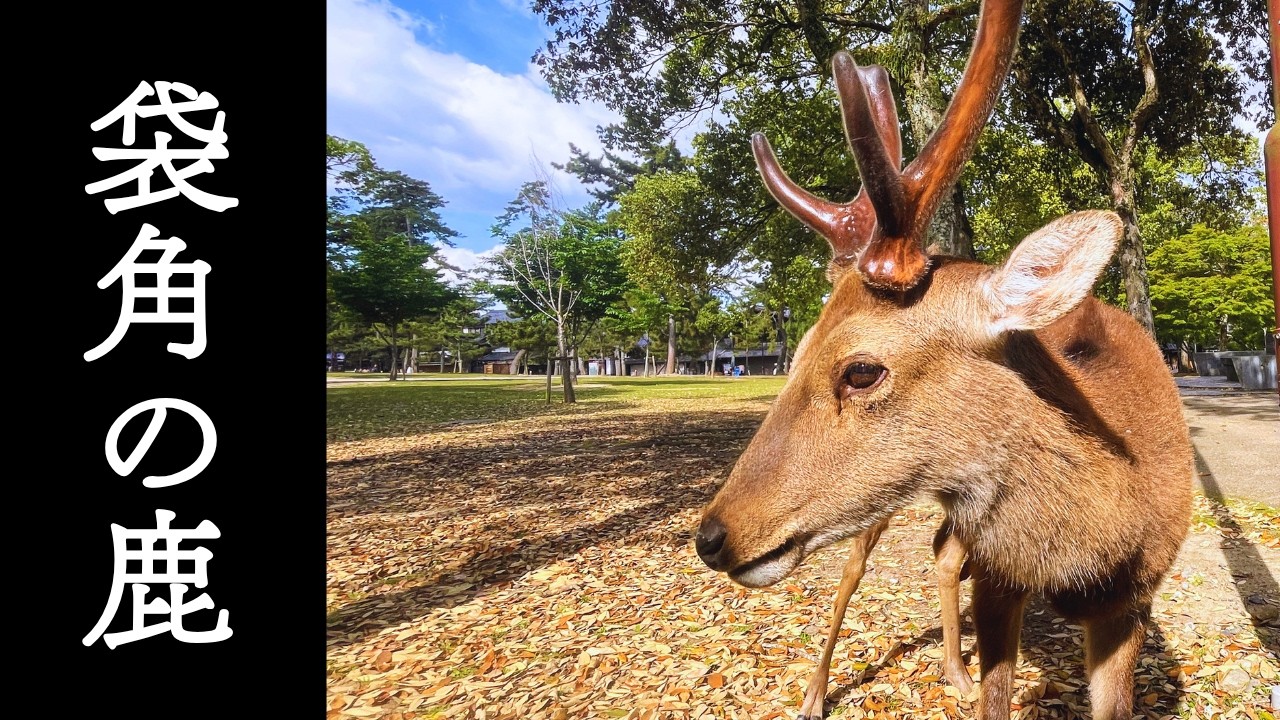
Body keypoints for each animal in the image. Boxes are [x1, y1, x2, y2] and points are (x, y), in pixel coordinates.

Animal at [691, 0, 1195, 717]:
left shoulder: (1135, 598)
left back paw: (951, 670)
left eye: (861, 370)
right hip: (881, 505)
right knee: (857, 569)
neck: (1090, 549)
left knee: (941, 549)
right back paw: (816, 692)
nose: (711, 536)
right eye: (795, 352)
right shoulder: (1000, 578)